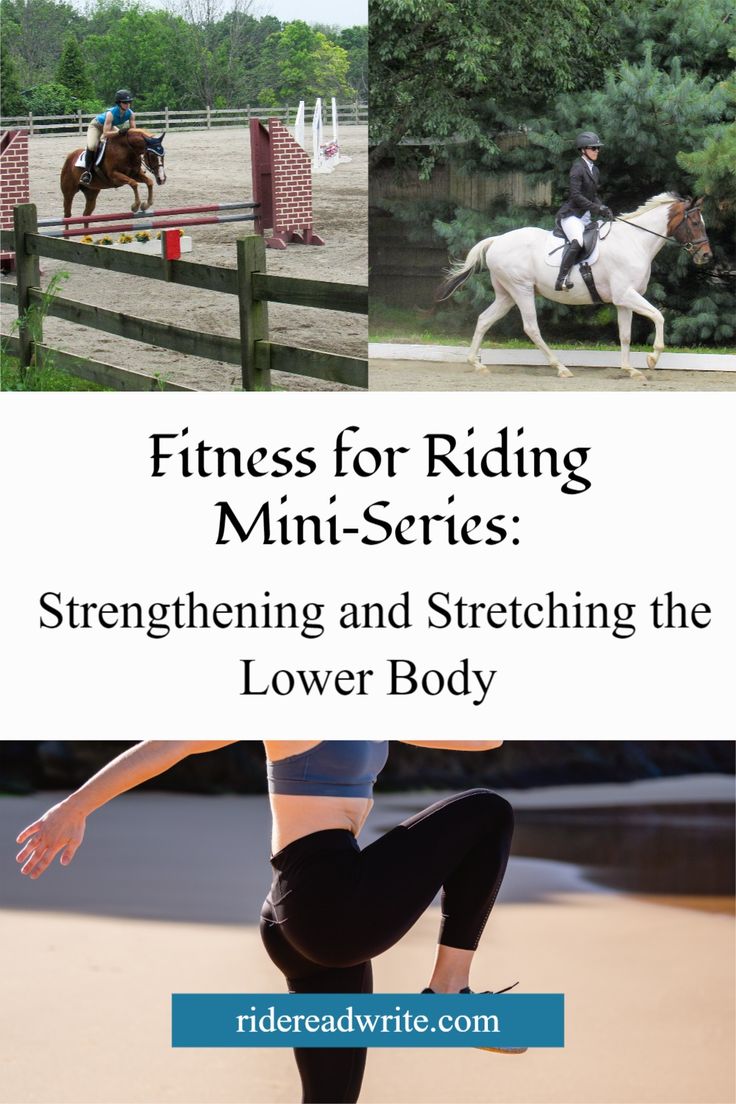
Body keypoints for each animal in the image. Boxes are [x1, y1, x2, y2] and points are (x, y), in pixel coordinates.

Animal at [436, 192, 715, 377]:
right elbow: (659, 316)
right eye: (694, 223)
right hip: (521, 289)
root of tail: (497, 240)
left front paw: (629, 369)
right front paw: (652, 358)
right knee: (531, 328)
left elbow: (625, 334)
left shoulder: (623, 300)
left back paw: (476, 363)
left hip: (506, 294)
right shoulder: (626, 295)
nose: (706, 256)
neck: (635, 241)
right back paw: (560, 367)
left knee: (484, 319)